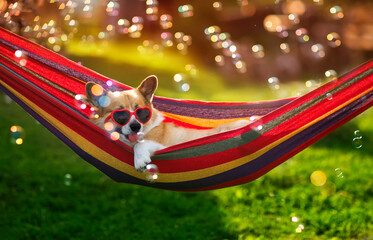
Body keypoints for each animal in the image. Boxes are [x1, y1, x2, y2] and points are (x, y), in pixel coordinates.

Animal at [85, 76, 248, 170]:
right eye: (120, 115)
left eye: (141, 112)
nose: (136, 126)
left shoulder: (160, 144)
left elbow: (140, 144)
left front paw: (140, 159)